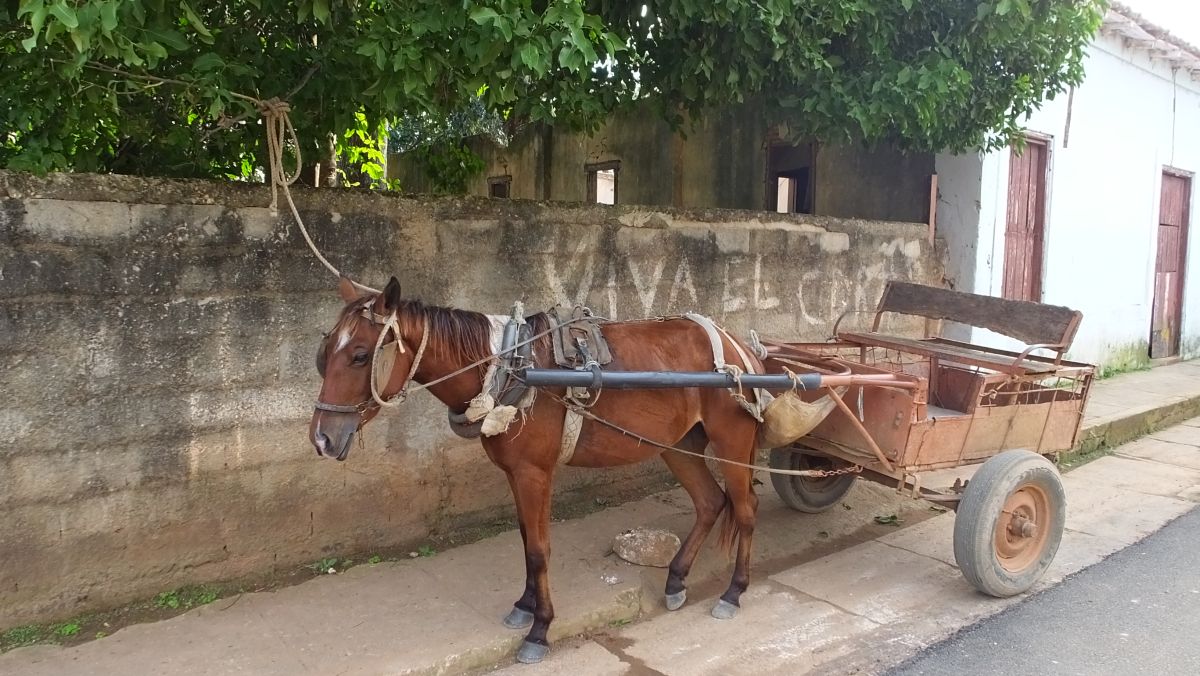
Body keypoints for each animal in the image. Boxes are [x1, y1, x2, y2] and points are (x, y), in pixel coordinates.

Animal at [309, 276, 758, 667]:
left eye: (361, 356)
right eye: (324, 353)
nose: (322, 440)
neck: (508, 366)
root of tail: (737, 345)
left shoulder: (534, 473)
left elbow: (540, 550)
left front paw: (539, 631)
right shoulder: (514, 472)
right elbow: (526, 541)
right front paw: (524, 607)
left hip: (732, 441)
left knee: (745, 511)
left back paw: (734, 593)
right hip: (679, 445)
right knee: (710, 501)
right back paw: (677, 580)